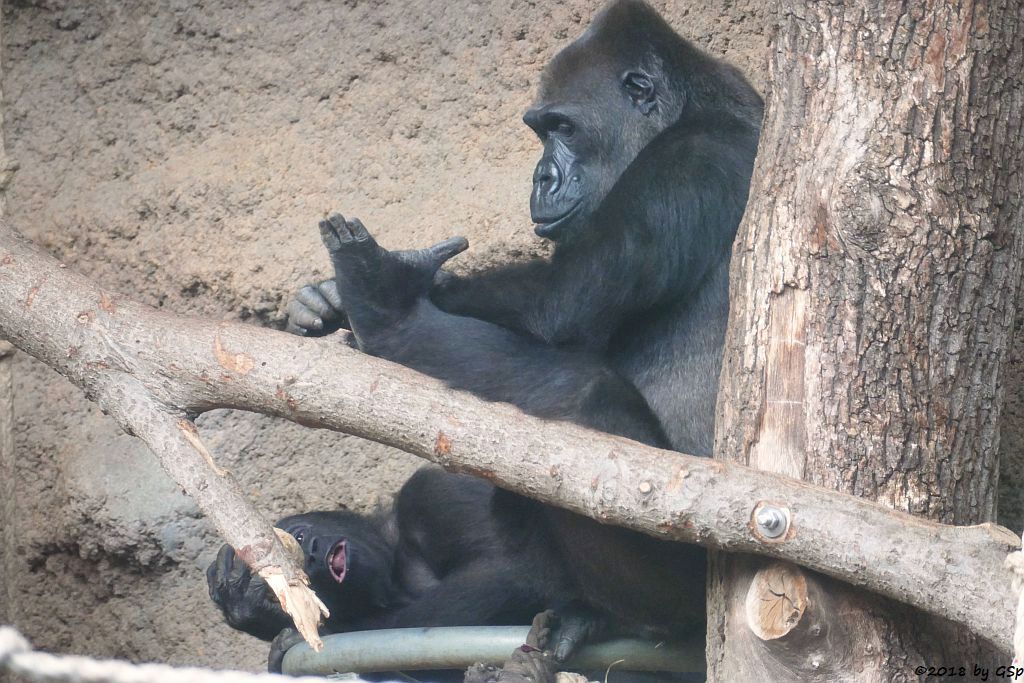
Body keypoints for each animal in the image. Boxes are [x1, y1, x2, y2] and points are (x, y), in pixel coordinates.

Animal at [286, 0, 761, 655]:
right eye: (540, 132)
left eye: (563, 128)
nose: (541, 178)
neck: (693, 105)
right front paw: (326, 302)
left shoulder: (689, 162)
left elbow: (557, 308)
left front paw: (389, 300)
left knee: (579, 400)